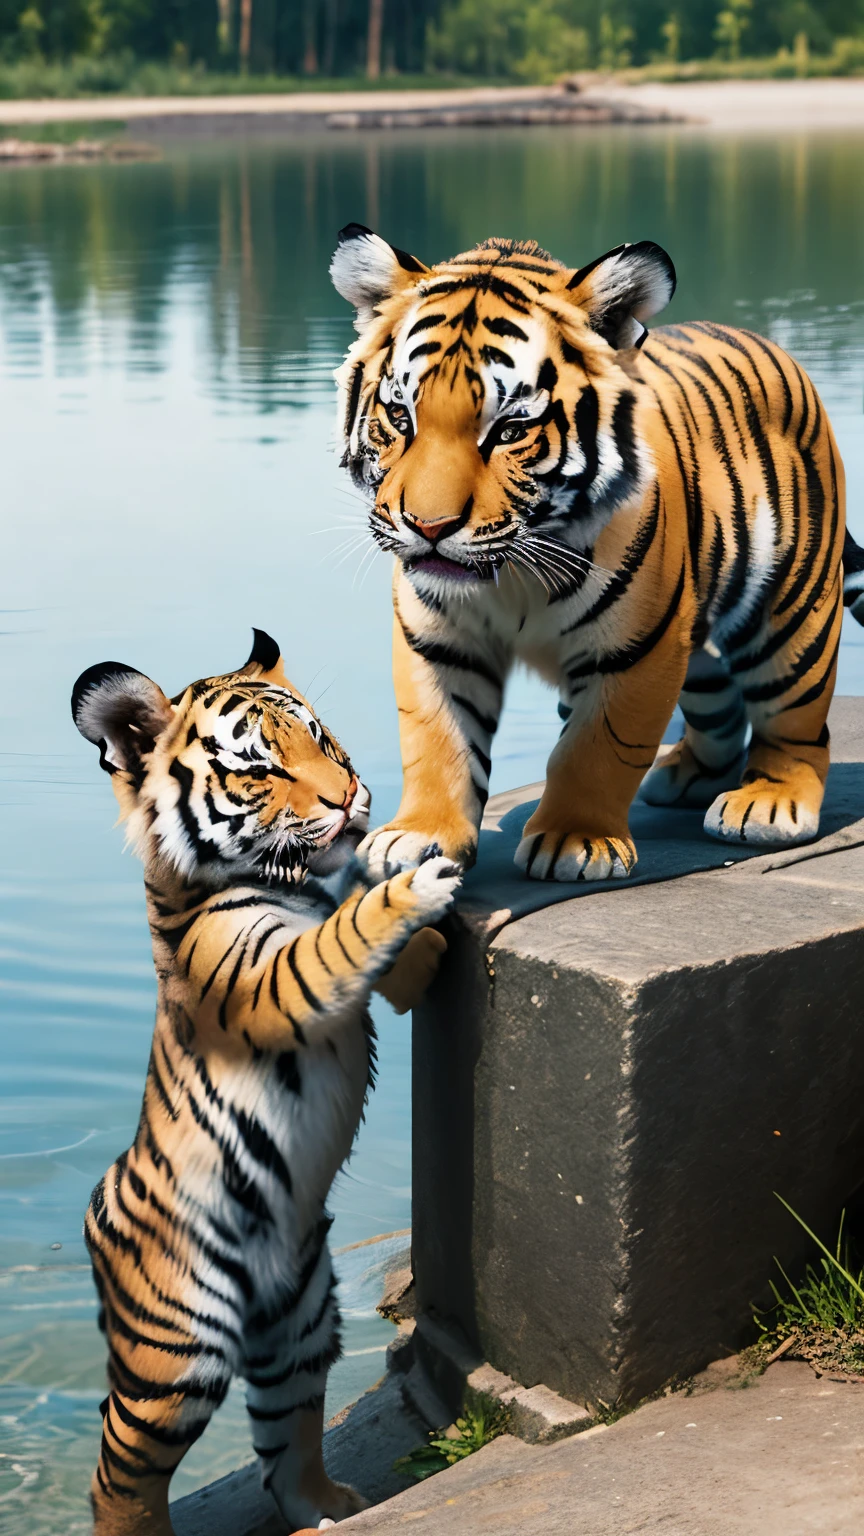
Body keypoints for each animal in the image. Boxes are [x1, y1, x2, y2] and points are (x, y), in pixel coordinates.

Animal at [72, 629, 458, 1529]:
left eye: (320, 739)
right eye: (257, 769)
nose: (351, 796)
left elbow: (367, 939)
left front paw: (412, 900)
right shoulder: (265, 980)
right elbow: (341, 936)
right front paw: (414, 879)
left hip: (303, 1323)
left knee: (287, 1443)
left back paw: (331, 1508)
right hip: (176, 1355)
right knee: (118, 1469)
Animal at [328, 222, 860, 884]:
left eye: (509, 431)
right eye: (400, 417)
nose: (429, 526)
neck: (512, 574)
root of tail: (770, 345)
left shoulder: (635, 649)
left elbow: (597, 747)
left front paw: (576, 841)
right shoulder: (437, 640)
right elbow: (437, 740)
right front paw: (418, 836)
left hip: (789, 610)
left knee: (795, 715)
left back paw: (768, 803)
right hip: (696, 641)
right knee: (721, 708)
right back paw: (683, 776)